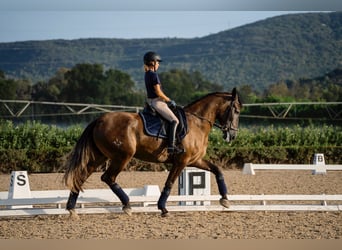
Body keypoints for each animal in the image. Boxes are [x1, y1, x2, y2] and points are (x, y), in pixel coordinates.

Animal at [62, 88, 242, 219]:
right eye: (236, 110)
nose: (232, 135)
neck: (197, 122)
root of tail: (99, 120)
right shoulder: (181, 161)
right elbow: (169, 183)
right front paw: (163, 208)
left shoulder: (194, 160)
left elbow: (217, 170)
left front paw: (225, 200)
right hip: (122, 157)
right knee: (108, 177)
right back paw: (127, 205)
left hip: (99, 156)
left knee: (80, 177)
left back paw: (72, 209)